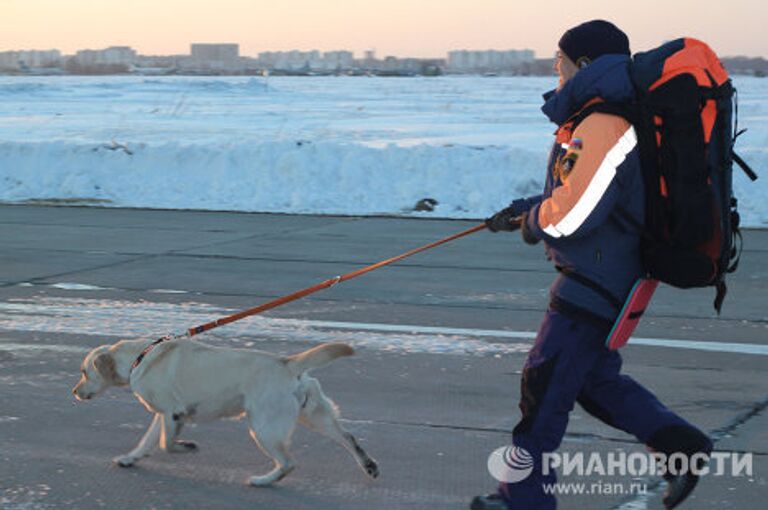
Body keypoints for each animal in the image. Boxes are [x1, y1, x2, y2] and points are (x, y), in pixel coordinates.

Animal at [73, 338, 380, 486]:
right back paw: (368, 465)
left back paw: (262, 481)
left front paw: (187, 447)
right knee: (348, 437)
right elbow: (148, 441)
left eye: (84, 372)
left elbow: (165, 444)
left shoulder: (173, 413)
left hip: (263, 427)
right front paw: (130, 459)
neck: (139, 357)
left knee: (288, 462)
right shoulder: (163, 416)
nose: (74, 392)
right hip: (314, 415)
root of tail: (288, 363)